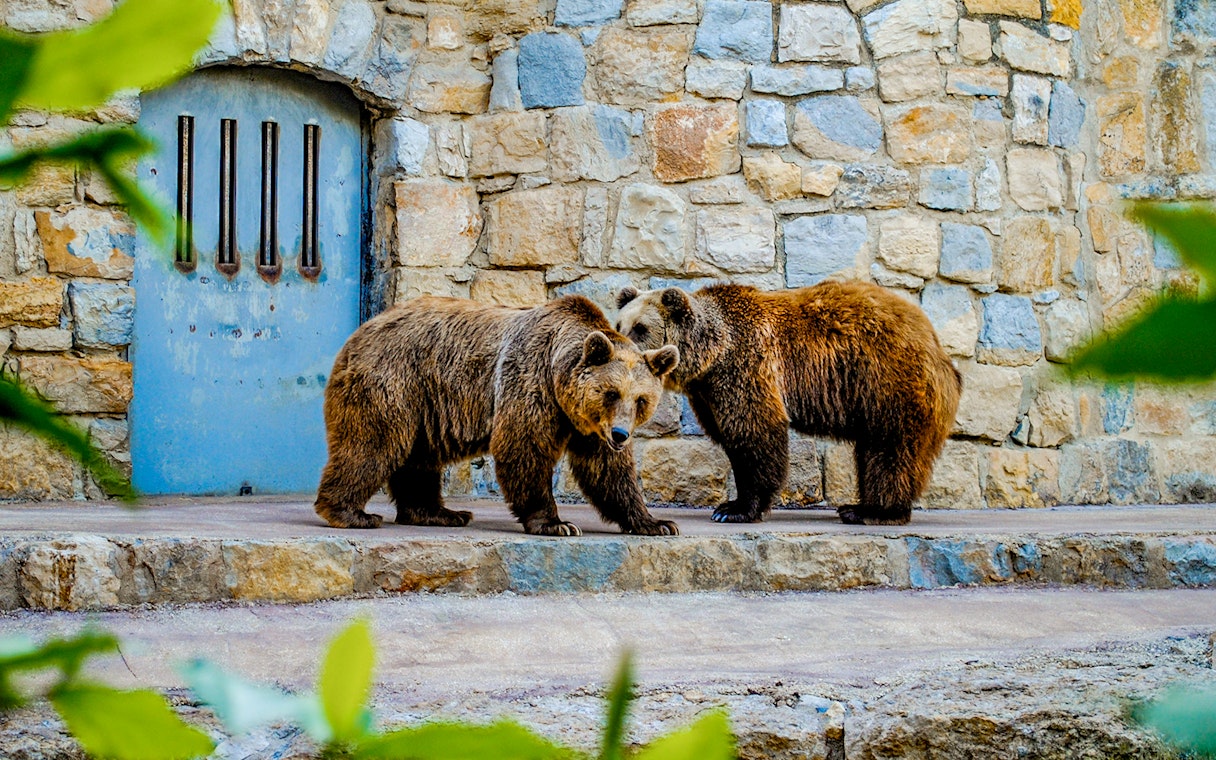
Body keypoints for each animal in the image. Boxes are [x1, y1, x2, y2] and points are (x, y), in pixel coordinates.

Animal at [313, 294, 681, 537]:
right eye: (611, 392)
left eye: (641, 400)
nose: (621, 434)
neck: (559, 380)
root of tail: (363, 330)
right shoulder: (530, 383)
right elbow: (524, 448)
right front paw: (557, 523)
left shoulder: (588, 426)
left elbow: (608, 470)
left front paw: (656, 523)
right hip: (394, 381)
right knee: (372, 444)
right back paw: (351, 513)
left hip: (426, 406)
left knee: (419, 459)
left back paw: (440, 512)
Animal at [615, 281, 962, 526]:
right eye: (619, 325)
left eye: (641, 327)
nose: (621, 348)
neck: (710, 355)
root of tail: (934, 341)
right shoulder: (708, 393)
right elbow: (732, 438)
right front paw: (733, 504)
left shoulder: (745, 366)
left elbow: (754, 432)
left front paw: (735, 509)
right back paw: (860, 506)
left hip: (887, 382)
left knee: (891, 447)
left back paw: (871, 511)